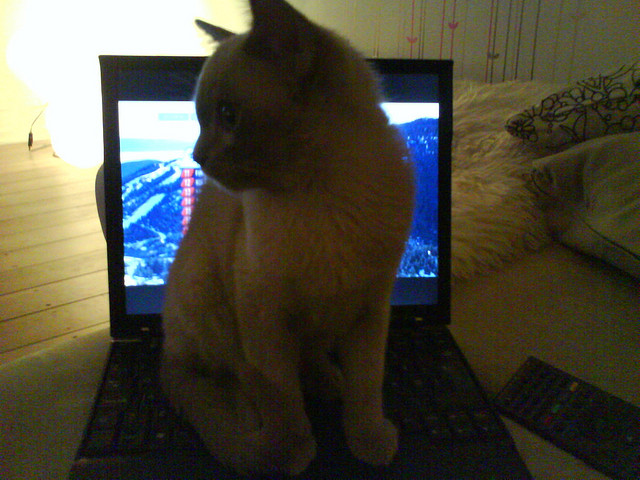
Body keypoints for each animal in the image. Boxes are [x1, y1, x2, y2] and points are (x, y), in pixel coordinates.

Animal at [160, 0, 415, 475]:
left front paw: (368, 439)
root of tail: (166, 354)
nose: (197, 156)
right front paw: (292, 452)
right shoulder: (264, 318)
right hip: (210, 295)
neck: (325, 203)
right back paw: (263, 436)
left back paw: (329, 382)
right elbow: (282, 397)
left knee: (311, 359)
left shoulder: (371, 310)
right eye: (201, 118)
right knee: (241, 377)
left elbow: (367, 386)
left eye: (228, 115)